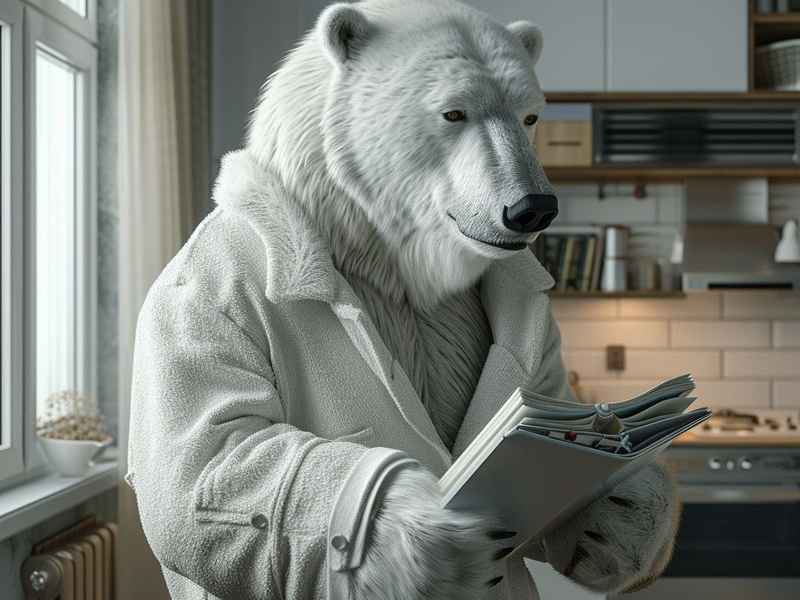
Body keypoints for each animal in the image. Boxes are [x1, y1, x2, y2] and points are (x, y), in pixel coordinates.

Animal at [126, 1, 679, 599]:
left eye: (530, 116)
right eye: (453, 112)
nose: (532, 208)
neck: (385, 261)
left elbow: (550, 397)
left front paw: (620, 508)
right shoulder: (210, 290)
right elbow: (212, 455)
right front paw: (430, 541)